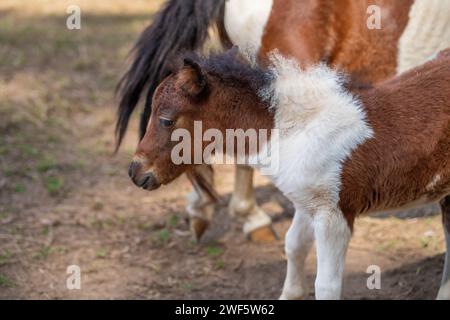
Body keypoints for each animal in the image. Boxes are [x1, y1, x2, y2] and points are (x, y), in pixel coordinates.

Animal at [126, 48, 450, 298]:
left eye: (166, 120)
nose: (135, 172)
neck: (298, 130)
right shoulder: (306, 202)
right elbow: (293, 246)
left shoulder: (334, 214)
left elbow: (326, 285)